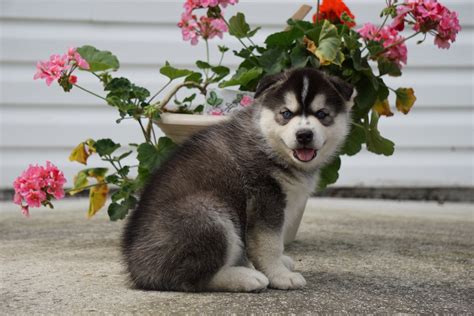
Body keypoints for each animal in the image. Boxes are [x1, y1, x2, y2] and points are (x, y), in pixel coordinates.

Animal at [122, 68, 356, 292]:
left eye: (322, 114)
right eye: (286, 114)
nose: (304, 134)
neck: (268, 144)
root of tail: (137, 269)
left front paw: (281, 264)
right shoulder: (264, 197)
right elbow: (270, 244)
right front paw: (280, 275)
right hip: (208, 214)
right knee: (190, 278)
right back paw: (246, 277)